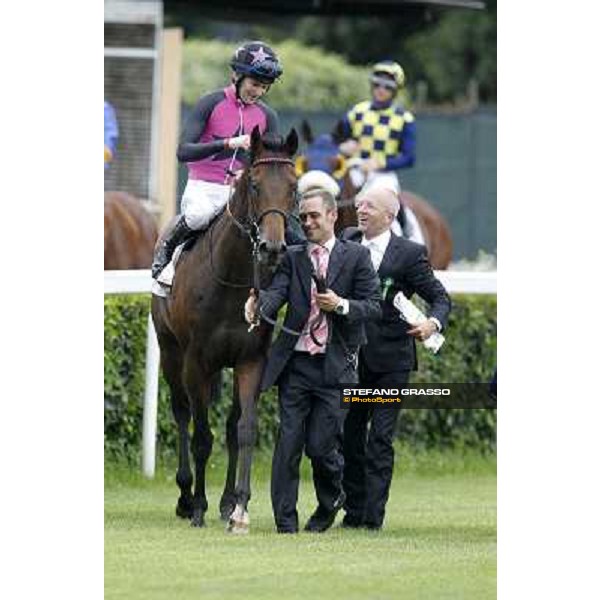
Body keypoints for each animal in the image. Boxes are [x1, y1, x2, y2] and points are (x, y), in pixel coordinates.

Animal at [151, 126, 298, 536]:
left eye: (294, 186)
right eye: (255, 185)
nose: (272, 248)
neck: (231, 281)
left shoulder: (251, 359)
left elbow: (244, 429)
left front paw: (239, 507)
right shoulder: (196, 361)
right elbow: (202, 436)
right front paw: (198, 506)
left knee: (230, 427)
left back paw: (226, 501)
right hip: (170, 353)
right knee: (181, 413)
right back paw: (186, 496)